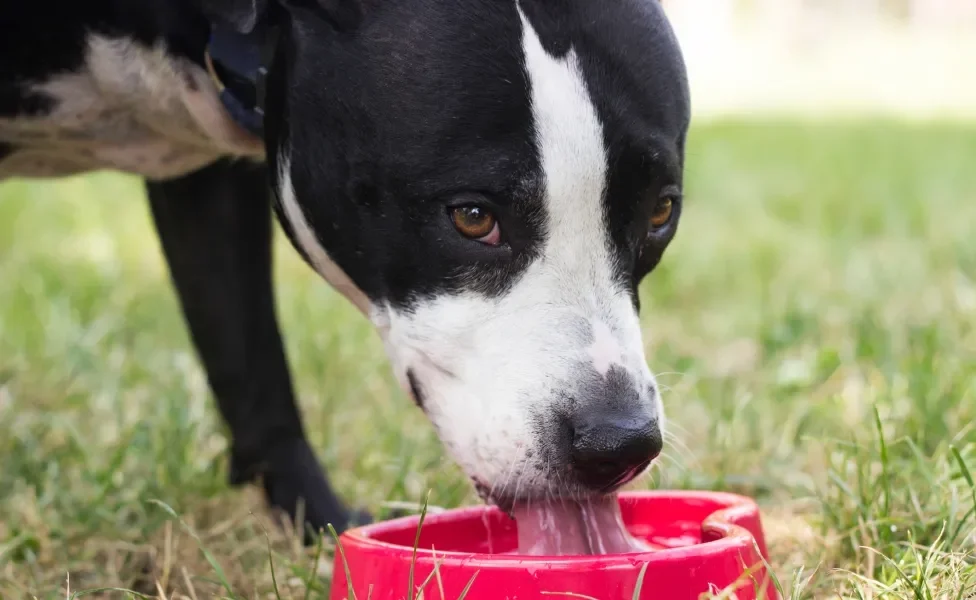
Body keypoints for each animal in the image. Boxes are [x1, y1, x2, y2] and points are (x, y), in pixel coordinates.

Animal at [1, 0, 688, 540]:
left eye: (660, 212)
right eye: (473, 218)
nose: (619, 443)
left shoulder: (219, 182)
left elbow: (248, 357)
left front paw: (317, 527)